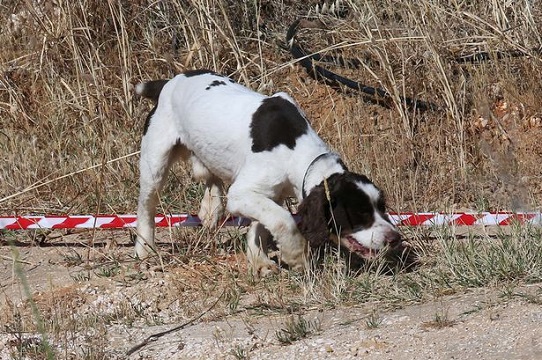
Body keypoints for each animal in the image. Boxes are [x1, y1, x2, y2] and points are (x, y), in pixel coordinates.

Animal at [134, 69, 402, 276]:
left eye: (382, 208)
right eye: (359, 213)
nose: (395, 239)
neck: (298, 151)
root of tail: (170, 82)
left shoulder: (272, 194)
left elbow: (261, 226)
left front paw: (259, 261)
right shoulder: (242, 194)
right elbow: (284, 220)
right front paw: (296, 255)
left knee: (209, 176)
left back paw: (211, 209)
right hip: (155, 162)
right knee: (146, 207)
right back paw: (145, 249)